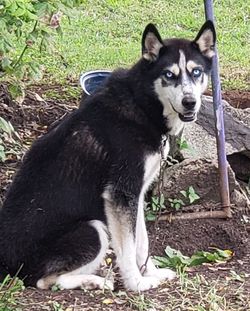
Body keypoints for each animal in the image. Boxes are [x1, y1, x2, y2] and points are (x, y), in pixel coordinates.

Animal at [0, 22, 215, 292]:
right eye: (168, 75)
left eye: (196, 72)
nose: (190, 102)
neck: (143, 104)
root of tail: (6, 265)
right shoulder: (120, 194)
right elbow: (128, 248)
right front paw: (137, 284)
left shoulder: (136, 193)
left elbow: (142, 241)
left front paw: (151, 273)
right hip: (92, 229)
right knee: (45, 281)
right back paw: (95, 280)